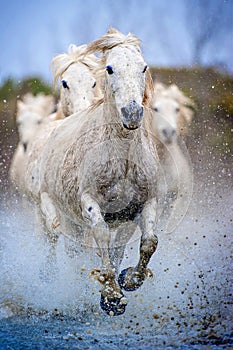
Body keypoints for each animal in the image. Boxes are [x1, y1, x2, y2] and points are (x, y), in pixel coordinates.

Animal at [30, 28, 158, 316]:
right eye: (109, 68)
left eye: (143, 67)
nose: (132, 113)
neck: (122, 160)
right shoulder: (90, 203)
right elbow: (101, 236)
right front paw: (111, 297)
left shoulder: (143, 205)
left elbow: (148, 242)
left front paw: (127, 281)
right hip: (58, 212)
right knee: (59, 240)